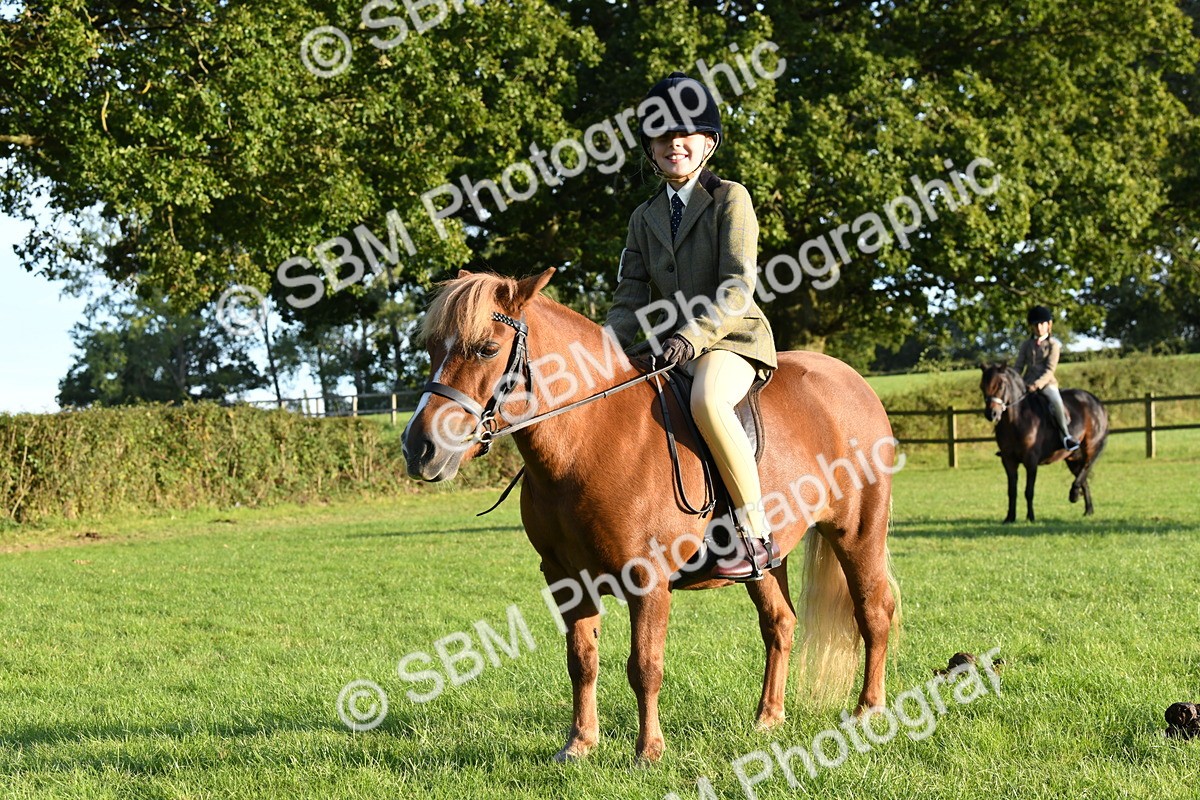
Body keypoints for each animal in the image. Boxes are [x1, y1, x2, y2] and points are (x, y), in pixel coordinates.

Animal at [402, 268, 900, 762]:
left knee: (874, 611)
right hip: (766, 559)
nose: (419, 447)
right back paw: (768, 718)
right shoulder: (565, 578)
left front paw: (648, 751)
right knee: (779, 623)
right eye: (431, 348)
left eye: (487, 348)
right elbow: (582, 660)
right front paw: (580, 743)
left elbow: (645, 665)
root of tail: (850, 380)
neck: (587, 439)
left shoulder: (648, 578)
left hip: (857, 533)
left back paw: (868, 712)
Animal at [979, 364, 1110, 523]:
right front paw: (1010, 517)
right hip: (1072, 456)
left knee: (1087, 466)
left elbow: (1029, 491)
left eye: (1001, 385)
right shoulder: (1008, 461)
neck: (1016, 420)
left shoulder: (1031, 461)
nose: (991, 414)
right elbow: (1012, 491)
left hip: (1091, 446)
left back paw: (1074, 493)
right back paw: (1088, 509)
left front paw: (1030, 517)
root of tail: (1096, 401)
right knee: (1083, 477)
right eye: (982, 386)